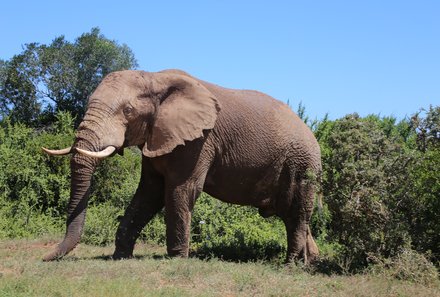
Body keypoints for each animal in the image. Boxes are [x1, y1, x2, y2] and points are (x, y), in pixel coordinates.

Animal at [43, 69, 322, 262]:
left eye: (128, 110)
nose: (44, 258)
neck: (154, 78)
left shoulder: (198, 142)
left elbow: (180, 190)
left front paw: (176, 258)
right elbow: (148, 194)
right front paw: (120, 256)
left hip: (302, 166)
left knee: (297, 214)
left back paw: (290, 265)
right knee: (293, 216)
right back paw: (308, 263)